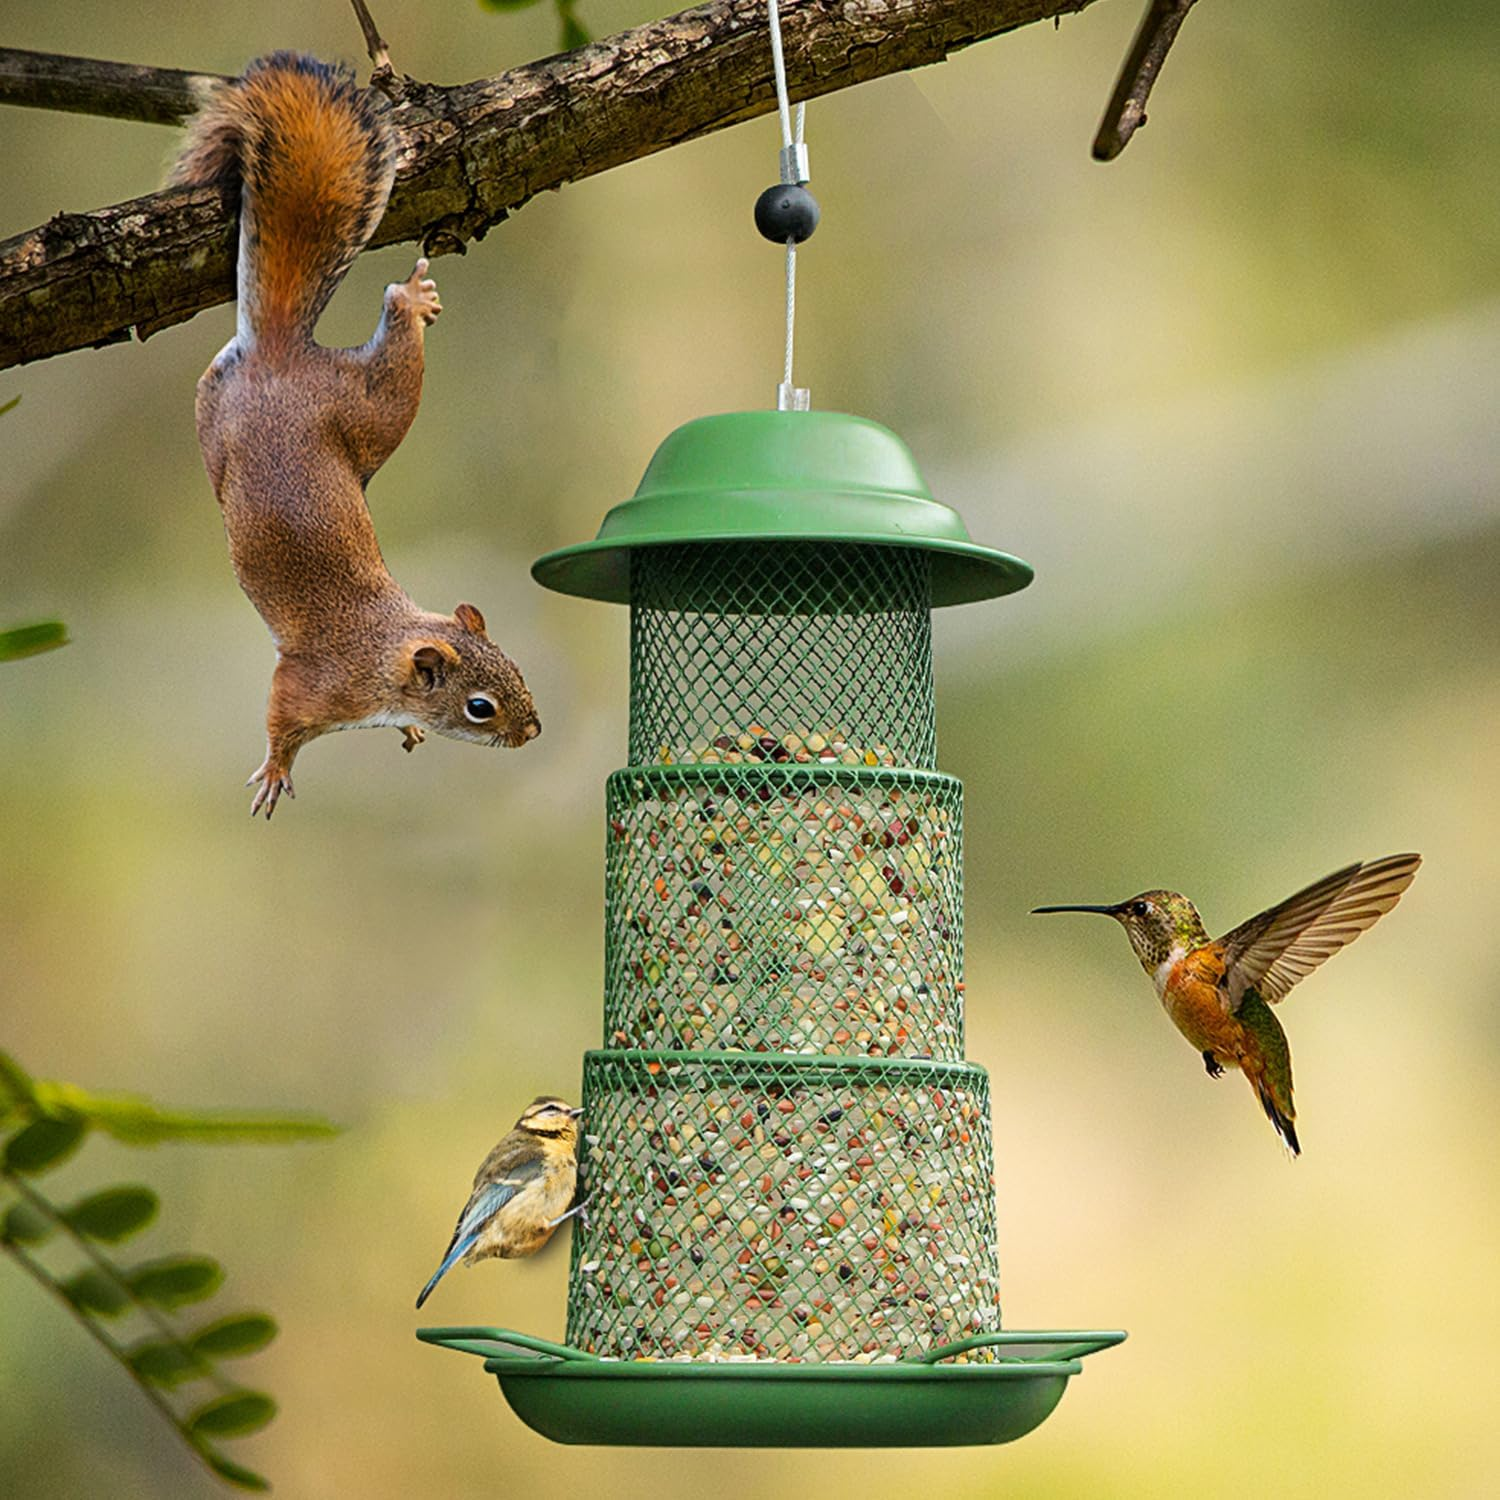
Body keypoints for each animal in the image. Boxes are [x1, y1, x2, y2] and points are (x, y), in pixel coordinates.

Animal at [171, 53, 540, 818]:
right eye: (481, 707)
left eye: (518, 668)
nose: (534, 730)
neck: (387, 655)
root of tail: (281, 354)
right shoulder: (312, 684)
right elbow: (282, 720)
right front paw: (276, 769)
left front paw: (408, 733)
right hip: (355, 413)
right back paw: (410, 298)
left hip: (356, 415)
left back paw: (415, 300)